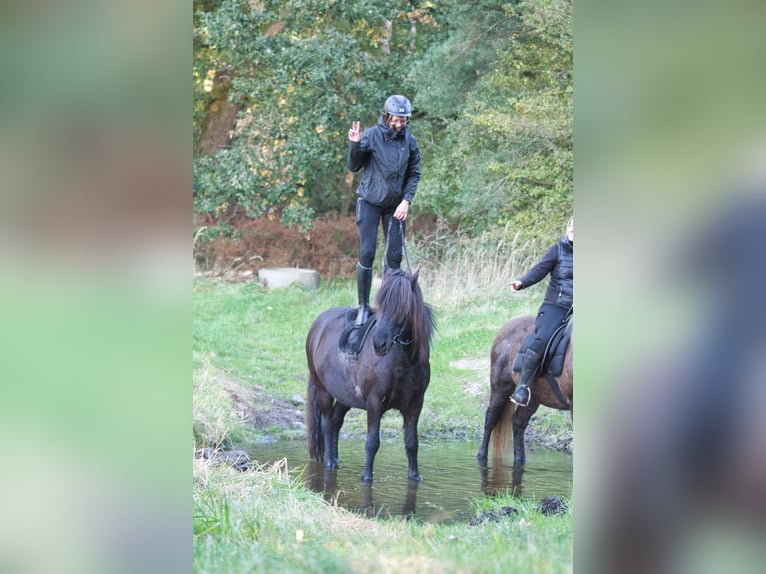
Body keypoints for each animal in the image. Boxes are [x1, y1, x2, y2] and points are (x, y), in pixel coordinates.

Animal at [308, 268, 438, 482]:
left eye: (404, 306)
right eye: (381, 304)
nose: (379, 344)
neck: (404, 362)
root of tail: (317, 325)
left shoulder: (415, 405)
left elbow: (412, 443)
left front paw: (414, 476)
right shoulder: (375, 402)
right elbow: (372, 442)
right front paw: (367, 477)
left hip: (345, 396)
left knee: (335, 422)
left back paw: (335, 460)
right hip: (323, 390)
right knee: (326, 423)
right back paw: (329, 462)